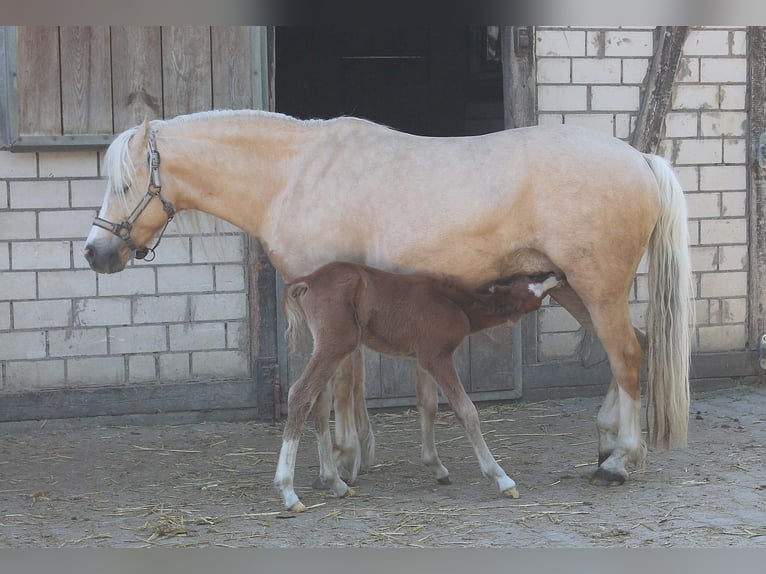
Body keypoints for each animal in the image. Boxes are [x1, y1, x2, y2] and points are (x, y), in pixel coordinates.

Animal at [274, 261, 563, 511]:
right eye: (532, 276)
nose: (557, 273)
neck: (454, 303)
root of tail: (307, 281)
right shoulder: (437, 356)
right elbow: (466, 411)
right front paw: (501, 479)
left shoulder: (422, 358)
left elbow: (428, 405)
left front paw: (436, 467)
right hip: (336, 345)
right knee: (300, 394)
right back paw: (288, 492)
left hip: (327, 348)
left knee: (319, 405)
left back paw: (336, 483)